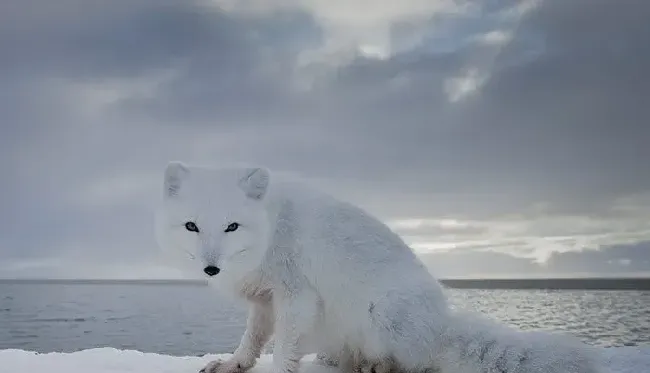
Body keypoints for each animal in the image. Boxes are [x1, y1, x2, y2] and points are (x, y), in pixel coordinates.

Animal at [154, 163, 600, 373]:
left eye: (232, 226)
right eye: (192, 226)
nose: (211, 269)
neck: (271, 229)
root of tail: (442, 322)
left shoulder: (296, 296)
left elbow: (283, 347)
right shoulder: (265, 299)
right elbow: (252, 339)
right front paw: (234, 364)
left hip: (384, 313)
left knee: (418, 362)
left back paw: (379, 364)